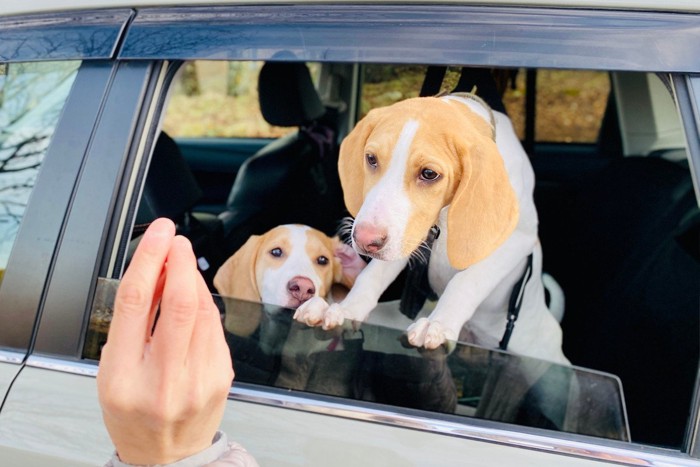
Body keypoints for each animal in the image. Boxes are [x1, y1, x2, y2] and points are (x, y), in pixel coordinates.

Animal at [294, 95, 568, 366]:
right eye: (371, 159)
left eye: (429, 173)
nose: (364, 240)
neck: (444, 218)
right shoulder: (409, 234)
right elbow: (372, 275)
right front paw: (347, 309)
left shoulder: (517, 240)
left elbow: (466, 281)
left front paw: (440, 324)